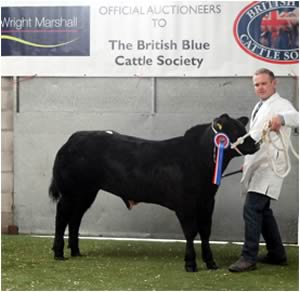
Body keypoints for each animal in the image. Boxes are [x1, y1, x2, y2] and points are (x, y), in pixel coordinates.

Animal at [48, 113, 258, 272]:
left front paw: (211, 262)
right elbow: (191, 232)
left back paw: (75, 251)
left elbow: (205, 232)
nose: (256, 145)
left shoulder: (207, 202)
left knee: (75, 218)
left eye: (243, 128)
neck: (199, 159)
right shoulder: (185, 204)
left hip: (86, 193)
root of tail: (74, 138)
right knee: (62, 217)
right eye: (233, 131)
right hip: (71, 192)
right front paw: (190, 263)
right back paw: (59, 253)